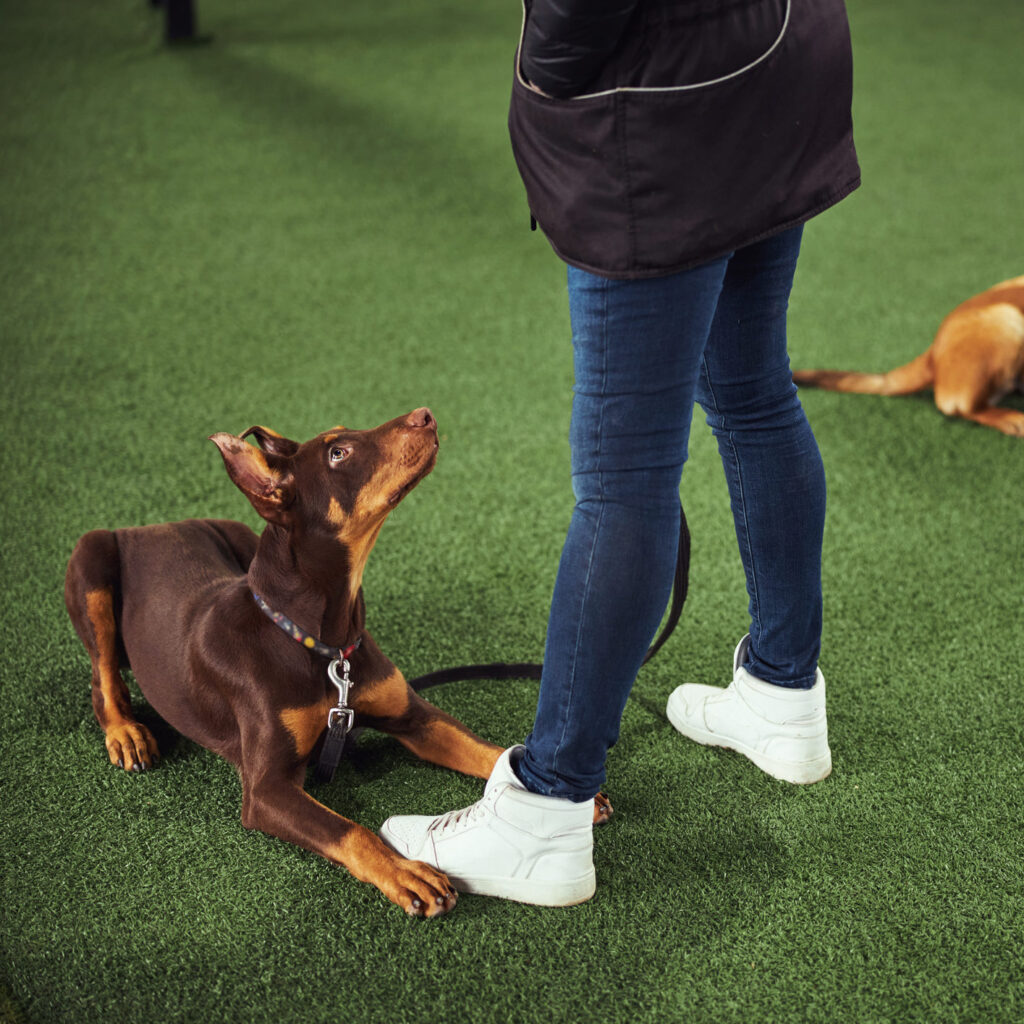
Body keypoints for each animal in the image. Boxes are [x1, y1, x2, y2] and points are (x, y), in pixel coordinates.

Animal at [66, 409, 606, 921]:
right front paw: (407, 874)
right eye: (338, 454)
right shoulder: (266, 789)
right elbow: (347, 830)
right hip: (91, 555)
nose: (426, 414)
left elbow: (478, 748)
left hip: (237, 534)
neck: (324, 643)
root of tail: (153, 525)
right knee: (102, 675)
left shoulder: (413, 716)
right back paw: (126, 734)